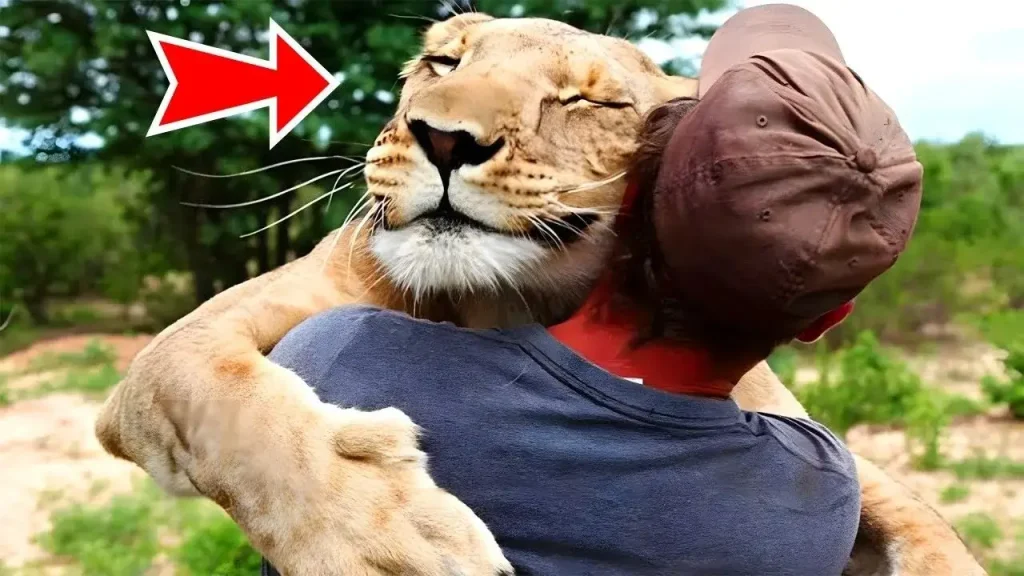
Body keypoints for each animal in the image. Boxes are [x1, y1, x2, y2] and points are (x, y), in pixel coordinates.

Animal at [96, 13, 985, 576]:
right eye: (443, 64)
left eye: (587, 100)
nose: (443, 137)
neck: (509, 303)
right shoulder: (207, 343)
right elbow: (217, 393)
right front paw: (385, 540)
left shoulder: (807, 434)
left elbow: (924, 521)